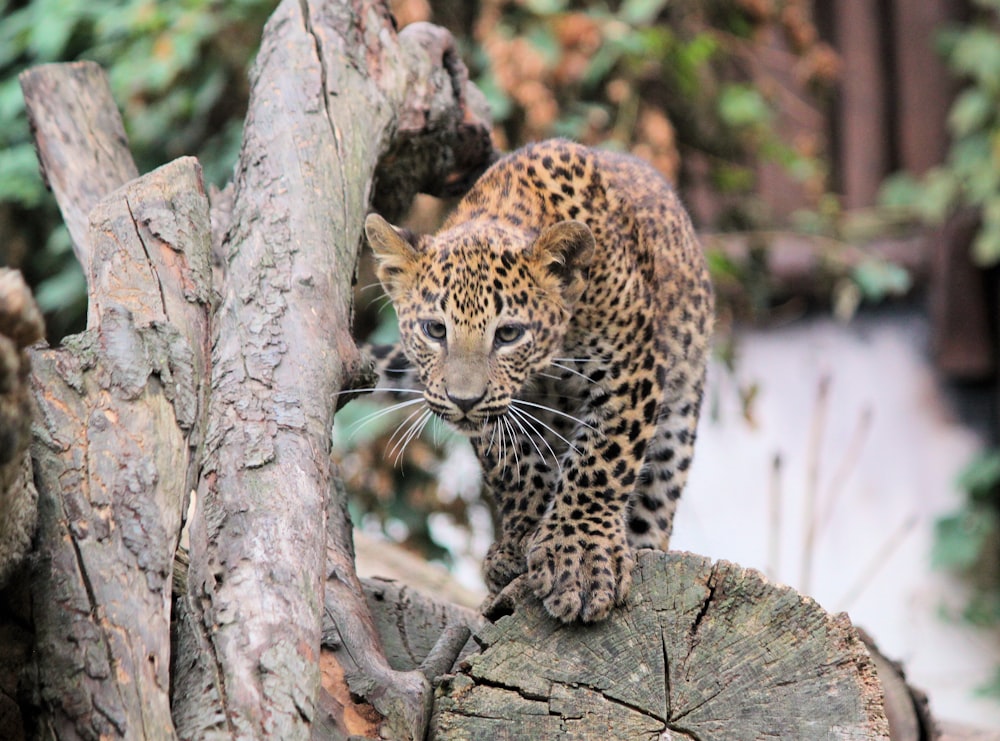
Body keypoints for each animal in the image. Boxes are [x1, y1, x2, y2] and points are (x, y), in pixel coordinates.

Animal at [364, 139, 716, 624]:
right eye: (435, 330)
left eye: (508, 334)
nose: (463, 400)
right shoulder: (506, 409)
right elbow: (515, 466)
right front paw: (521, 543)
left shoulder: (632, 367)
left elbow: (601, 460)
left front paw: (581, 558)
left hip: (677, 425)